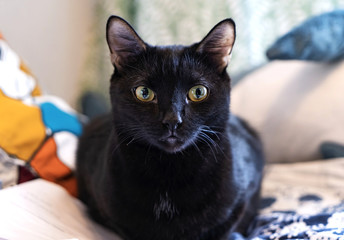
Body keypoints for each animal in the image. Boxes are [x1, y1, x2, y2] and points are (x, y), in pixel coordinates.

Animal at [76, 15, 264, 239]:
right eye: (144, 93)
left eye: (198, 92)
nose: (172, 120)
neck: (169, 171)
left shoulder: (247, 191)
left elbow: (228, 226)